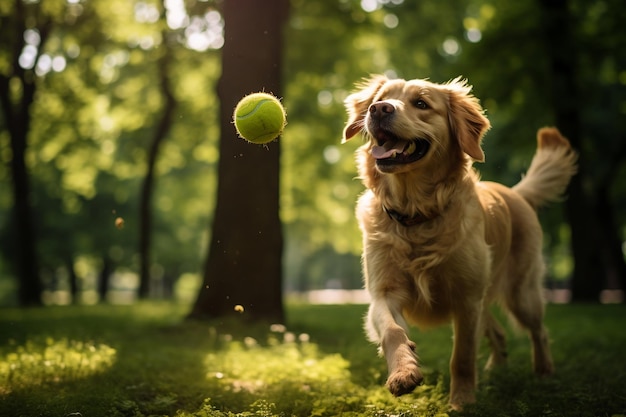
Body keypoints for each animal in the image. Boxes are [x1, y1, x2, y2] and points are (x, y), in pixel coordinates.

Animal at [342, 75, 576, 410]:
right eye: (381, 98)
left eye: (421, 103)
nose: (379, 109)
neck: (416, 214)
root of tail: (515, 192)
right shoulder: (384, 293)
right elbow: (393, 331)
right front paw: (403, 372)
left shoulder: (466, 299)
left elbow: (462, 356)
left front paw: (462, 401)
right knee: (499, 332)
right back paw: (496, 371)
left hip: (521, 293)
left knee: (539, 331)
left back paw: (544, 372)